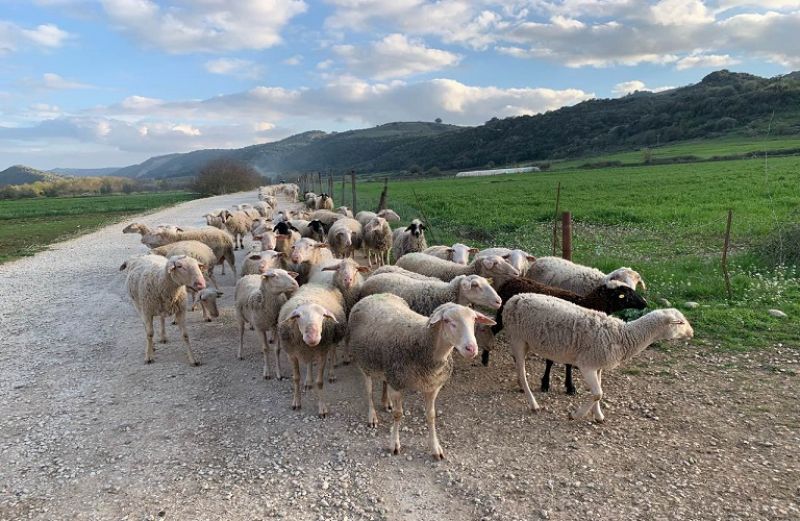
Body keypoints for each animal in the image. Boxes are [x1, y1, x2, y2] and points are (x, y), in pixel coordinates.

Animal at [278, 282, 346, 416]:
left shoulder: (322, 354)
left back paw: (331, 374)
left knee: (333, 352)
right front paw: (296, 402)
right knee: (309, 363)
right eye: (298, 316)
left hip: (334, 337)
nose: (312, 337)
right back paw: (308, 381)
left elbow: (319, 382)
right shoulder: (292, 355)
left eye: (323, 315)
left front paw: (322, 408)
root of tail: (317, 283)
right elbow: (296, 379)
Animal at [348, 294, 494, 458]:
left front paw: (435, 448)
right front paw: (394, 444)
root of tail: (372, 296)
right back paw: (372, 416)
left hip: (386, 366)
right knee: (369, 391)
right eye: (447, 320)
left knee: (385, 382)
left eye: (474, 319)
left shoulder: (432, 387)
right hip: (364, 363)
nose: (471, 349)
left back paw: (386, 402)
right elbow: (398, 415)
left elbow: (431, 415)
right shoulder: (397, 384)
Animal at [488, 276, 648, 394]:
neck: (586, 303)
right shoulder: (558, 337)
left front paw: (567, 386)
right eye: (625, 294)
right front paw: (549, 384)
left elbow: (566, 363)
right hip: (503, 316)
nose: (645, 303)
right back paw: (485, 357)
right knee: (491, 330)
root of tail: (508, 282)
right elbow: (552, 362)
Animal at [504, 294, 692, 420]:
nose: (692, 333)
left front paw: (598, 415)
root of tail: (514, 299)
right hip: (517, 338)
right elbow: (597, 393)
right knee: (522, 371)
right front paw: (576, 415)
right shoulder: (586, 365)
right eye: (681, 323)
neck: (624, 336)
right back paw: (533, 404)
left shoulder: (599, 365)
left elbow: (599, 391)